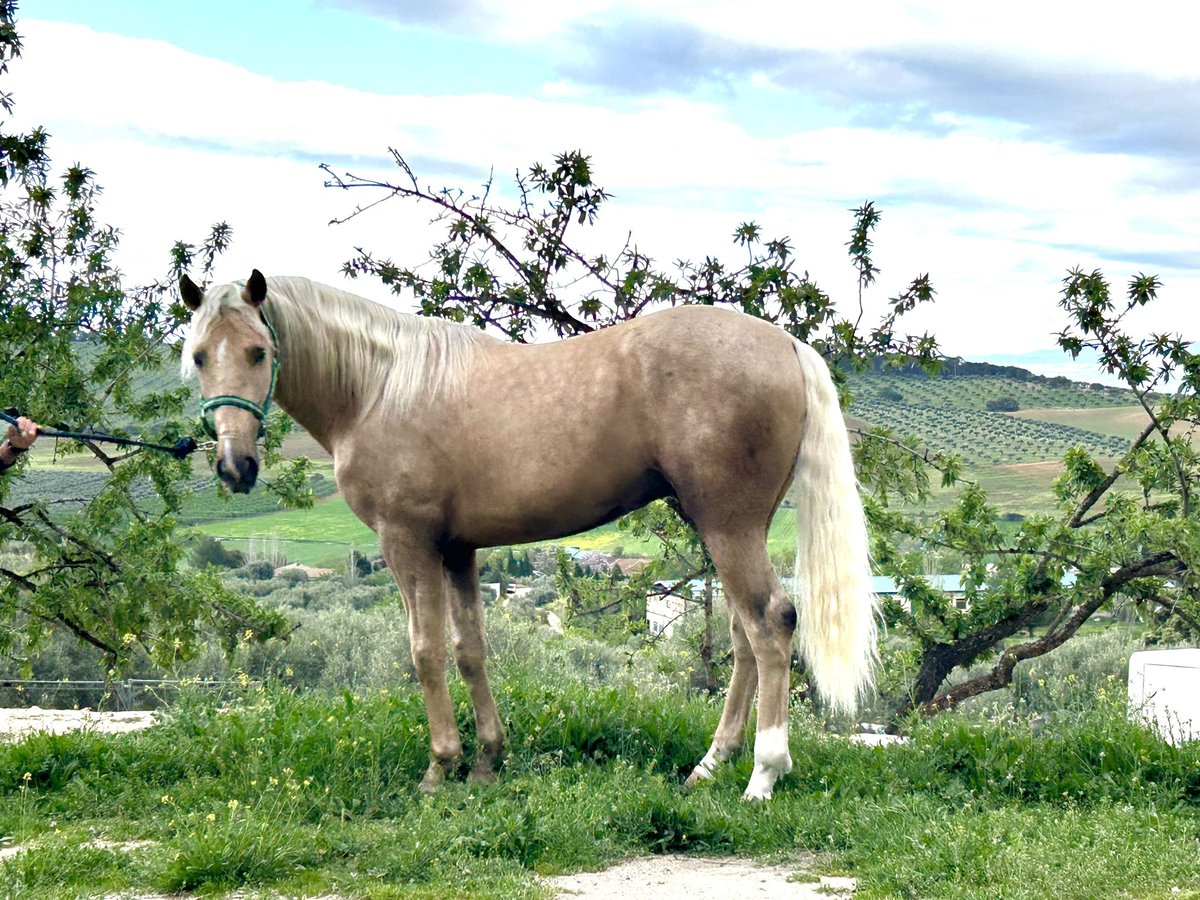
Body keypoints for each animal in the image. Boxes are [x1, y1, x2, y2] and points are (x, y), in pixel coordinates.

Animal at [177, 270, 873, 801]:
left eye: (258, 352)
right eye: (200, 356)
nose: (234, 467)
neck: (380, 386)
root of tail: (785, 343)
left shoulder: (407, 543)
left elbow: (425, 650)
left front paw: (440, 767)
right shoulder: (458, 551)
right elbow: (470, 651)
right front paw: (487, 760)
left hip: (728, 526)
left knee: (770, 623)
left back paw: (763, 776)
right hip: (729, 528)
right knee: (743, 636)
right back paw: (710, 764)